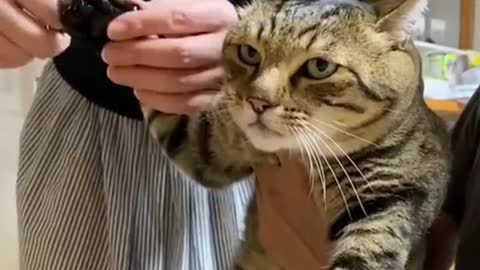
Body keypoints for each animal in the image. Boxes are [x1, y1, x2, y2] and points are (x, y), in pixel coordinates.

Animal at [59, 0, 450, 268]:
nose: (258, 101)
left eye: (319, 67)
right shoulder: (208, 149)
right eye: (249, 53)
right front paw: (98, 13)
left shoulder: (394, 196)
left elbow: (367, 251)